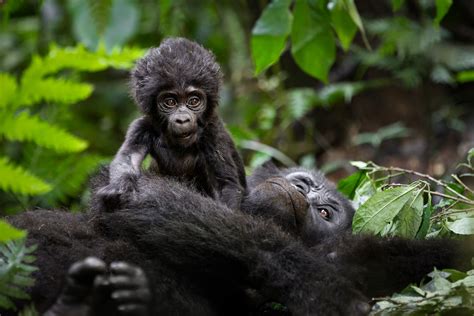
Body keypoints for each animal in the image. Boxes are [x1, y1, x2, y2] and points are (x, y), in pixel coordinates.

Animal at [97, 37, 244, 210]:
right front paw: (118, 187)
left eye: (193, 101)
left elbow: (226, 185)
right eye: (170, 102)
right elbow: (128, 158)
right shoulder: (141, 127)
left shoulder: (213, 131)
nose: (182, 119)